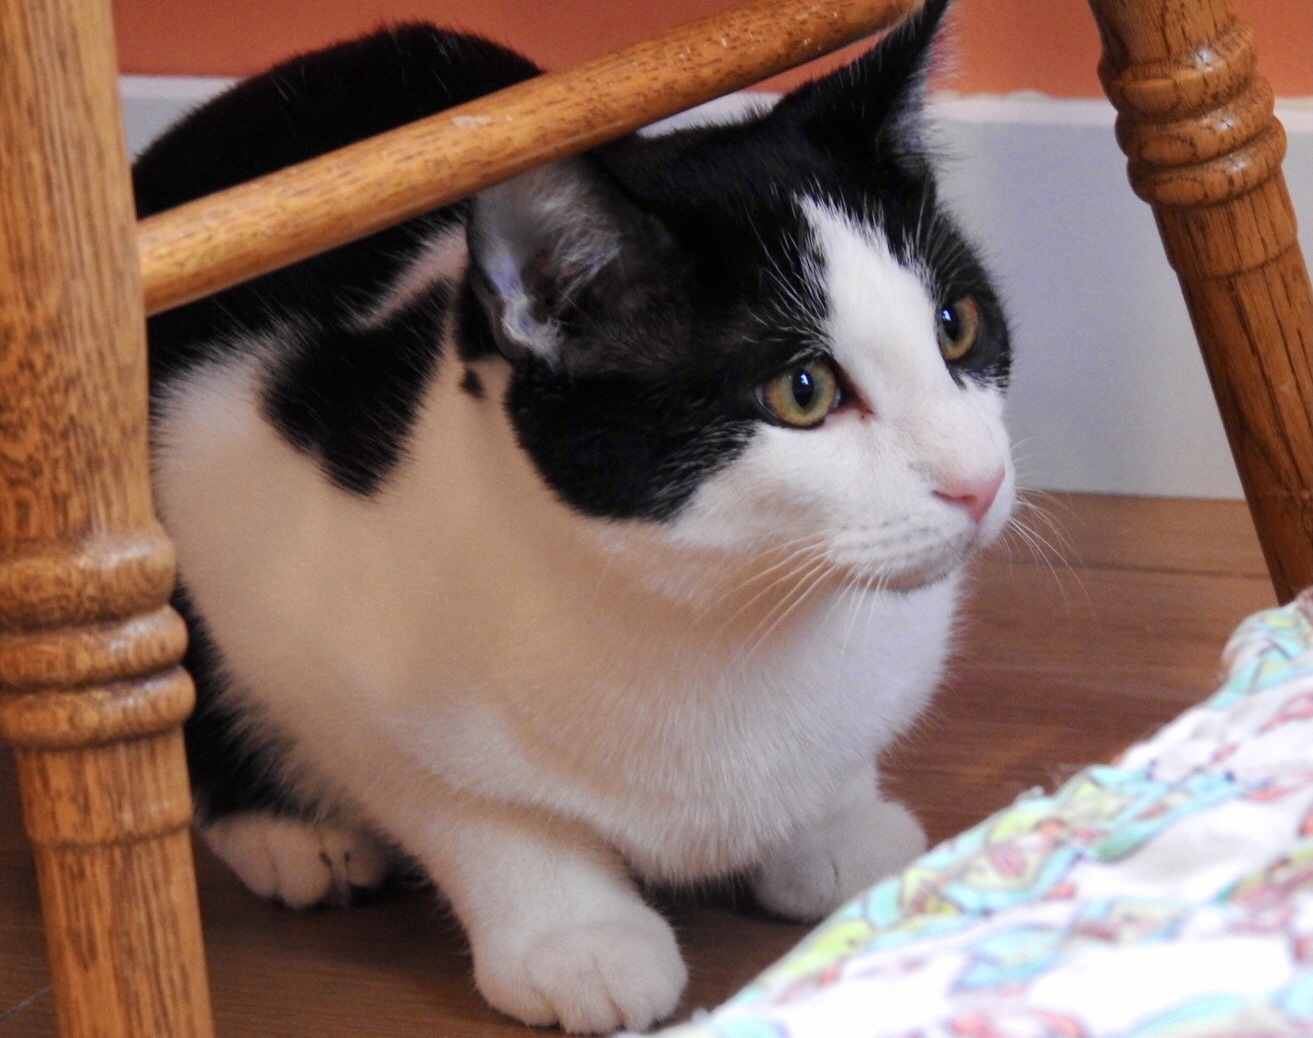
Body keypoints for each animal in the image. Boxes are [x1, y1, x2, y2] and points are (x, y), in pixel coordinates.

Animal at [133, 2, 1013, 1028]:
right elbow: (450, 796)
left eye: (956, 326)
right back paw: (288, 835)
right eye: (802, 391)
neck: (724, 616)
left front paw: (833, 826)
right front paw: (573, 936)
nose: (978, 480)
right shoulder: (249, 520)